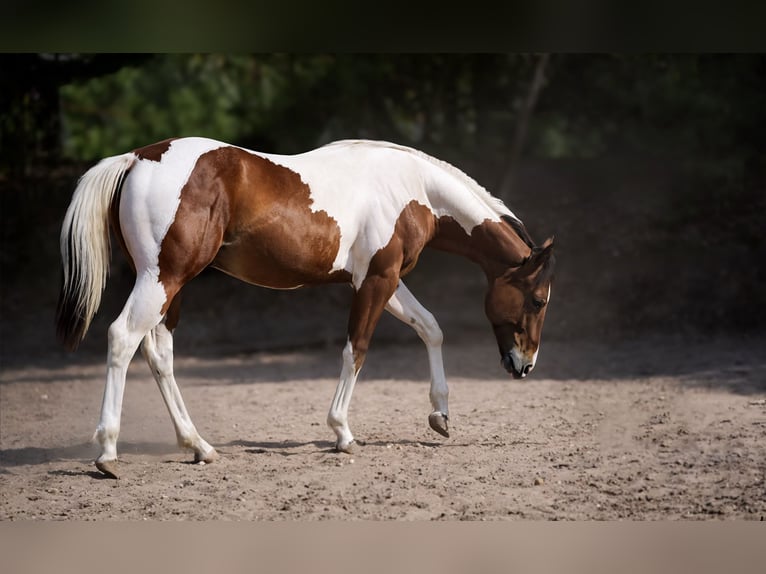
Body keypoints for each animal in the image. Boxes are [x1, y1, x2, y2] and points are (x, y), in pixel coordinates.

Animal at [57, 137, 555, 479]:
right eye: (536, 299)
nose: (525, 365)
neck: (411, 186)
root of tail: (137, 158)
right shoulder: (376, 281)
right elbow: (356, 350)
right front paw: (343, 433)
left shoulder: (386, 280)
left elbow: (430, 328)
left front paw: (440, 416)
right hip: (162, 279)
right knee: (122, 338)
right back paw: (107, 454)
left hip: (170, 287)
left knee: (159, 354)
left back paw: (199, 446)